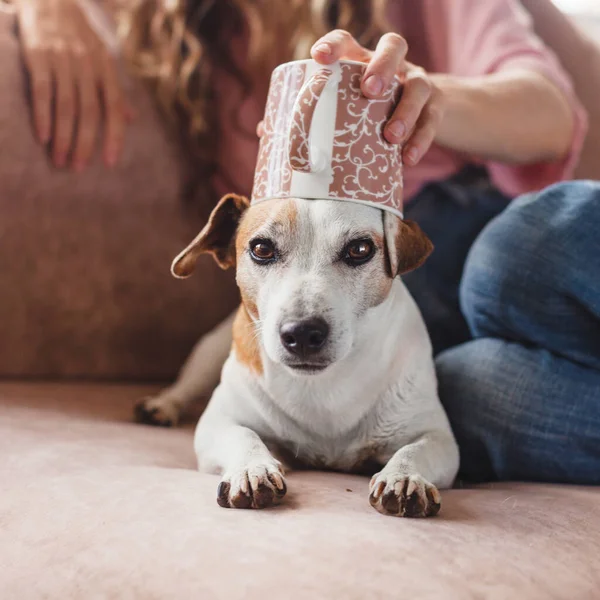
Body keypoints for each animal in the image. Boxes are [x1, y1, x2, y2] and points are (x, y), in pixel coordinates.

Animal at [137, 195, 460, 516]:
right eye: (262, 249)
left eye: (360, 249)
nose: (302, 333)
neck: (325, 385)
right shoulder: (219, 421)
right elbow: (243, 436)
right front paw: (252, 470)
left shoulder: (437, 436)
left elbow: (414, 450)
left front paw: (405, 478)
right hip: (210, 352)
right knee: (187, 384)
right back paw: (161, 406)